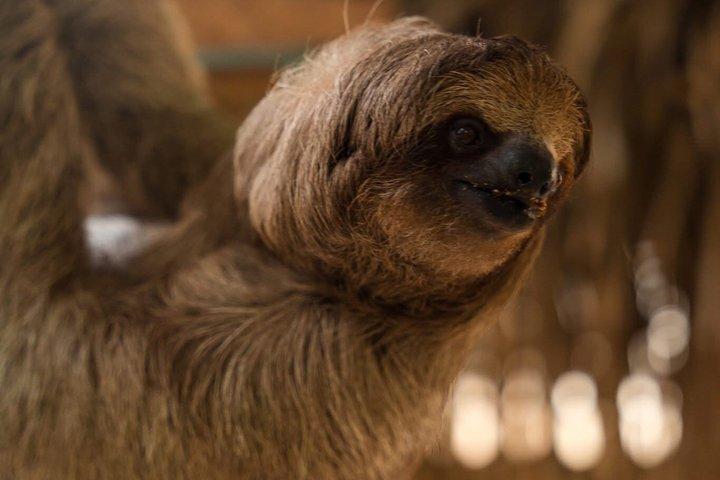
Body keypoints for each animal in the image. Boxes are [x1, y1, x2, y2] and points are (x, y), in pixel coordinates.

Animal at [0, 1, 591, 479]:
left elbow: (31, 324)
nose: (533, 175)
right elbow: (163, 128)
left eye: (558, 168)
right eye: (468, 132)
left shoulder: (274, 361)